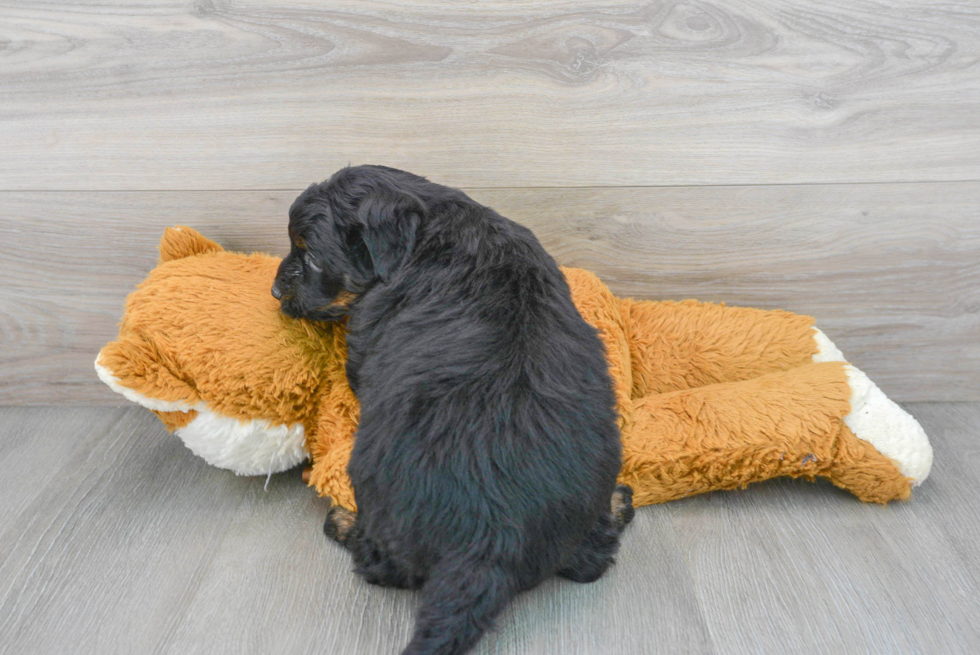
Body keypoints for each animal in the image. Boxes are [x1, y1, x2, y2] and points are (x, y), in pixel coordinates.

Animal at [272, 165, 632, 655]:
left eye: (309, 256)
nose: (274, 291)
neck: (431, 224)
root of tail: (488, 544)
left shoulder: (365, 331)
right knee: (591, 558)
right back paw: (618, 502)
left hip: (377, 496)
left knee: (380, 565)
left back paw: (344, 521)